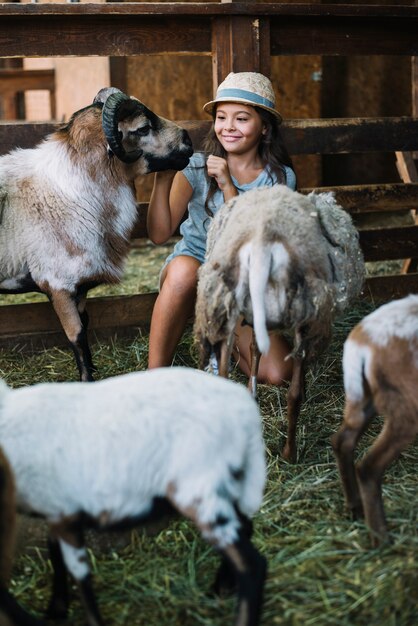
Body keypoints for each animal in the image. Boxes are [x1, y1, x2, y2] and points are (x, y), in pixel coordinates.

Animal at [0, 86, 193, 380]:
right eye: (143, 128)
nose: (188, 140)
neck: (74, 193)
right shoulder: (58, 283)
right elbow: (77, 336)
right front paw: (86, 380)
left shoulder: (79, 286)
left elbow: (86, 325)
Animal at [0, 366, 268, 624]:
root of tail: (245, 412)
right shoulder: (55, 509)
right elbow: (56, 556)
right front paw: (57, 608)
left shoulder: (63, 514)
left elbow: (80, 576)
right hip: (228, 486)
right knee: (246, 529)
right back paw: (221, 587)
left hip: (199, 490)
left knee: (251, 565)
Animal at [334, 294, 418, 544]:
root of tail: (361, 342)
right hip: (405, 406)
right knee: (368, 467)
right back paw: (381, 541)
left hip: (364, 395)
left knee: (343, 441)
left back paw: (355, 508)